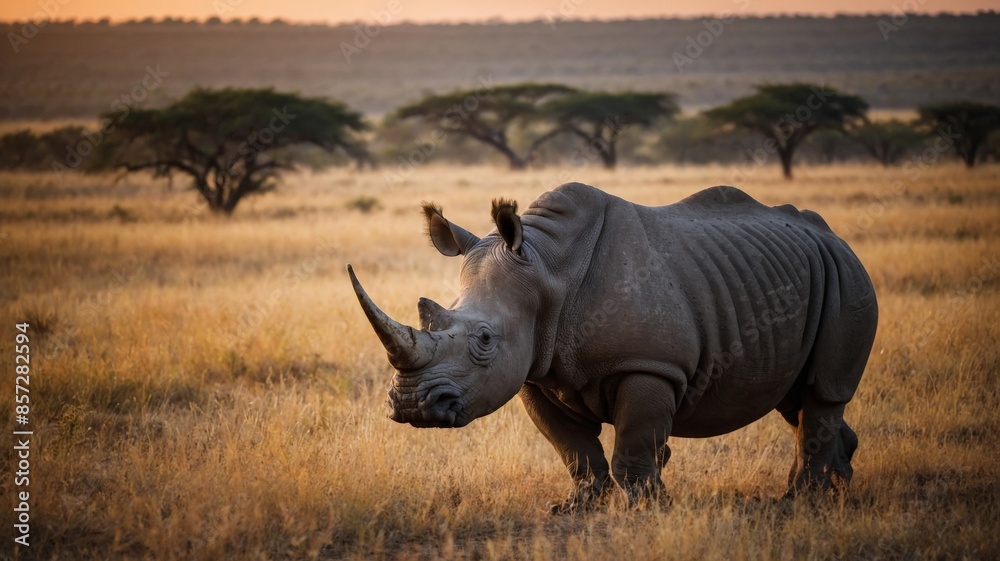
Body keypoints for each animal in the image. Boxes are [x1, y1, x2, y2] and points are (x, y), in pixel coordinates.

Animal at [348, 183, 878, 512]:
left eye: (483, 340)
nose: (413, 406)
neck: (547, 270)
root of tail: (833, 235)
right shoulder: (534, 371)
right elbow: (573, 447)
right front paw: (574, 508)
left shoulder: (650, 365)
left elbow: (635, 444)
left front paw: (647, 508)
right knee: (797, 398)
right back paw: (838, 488)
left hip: (848, 275)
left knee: (823, 392)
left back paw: (800, 502)